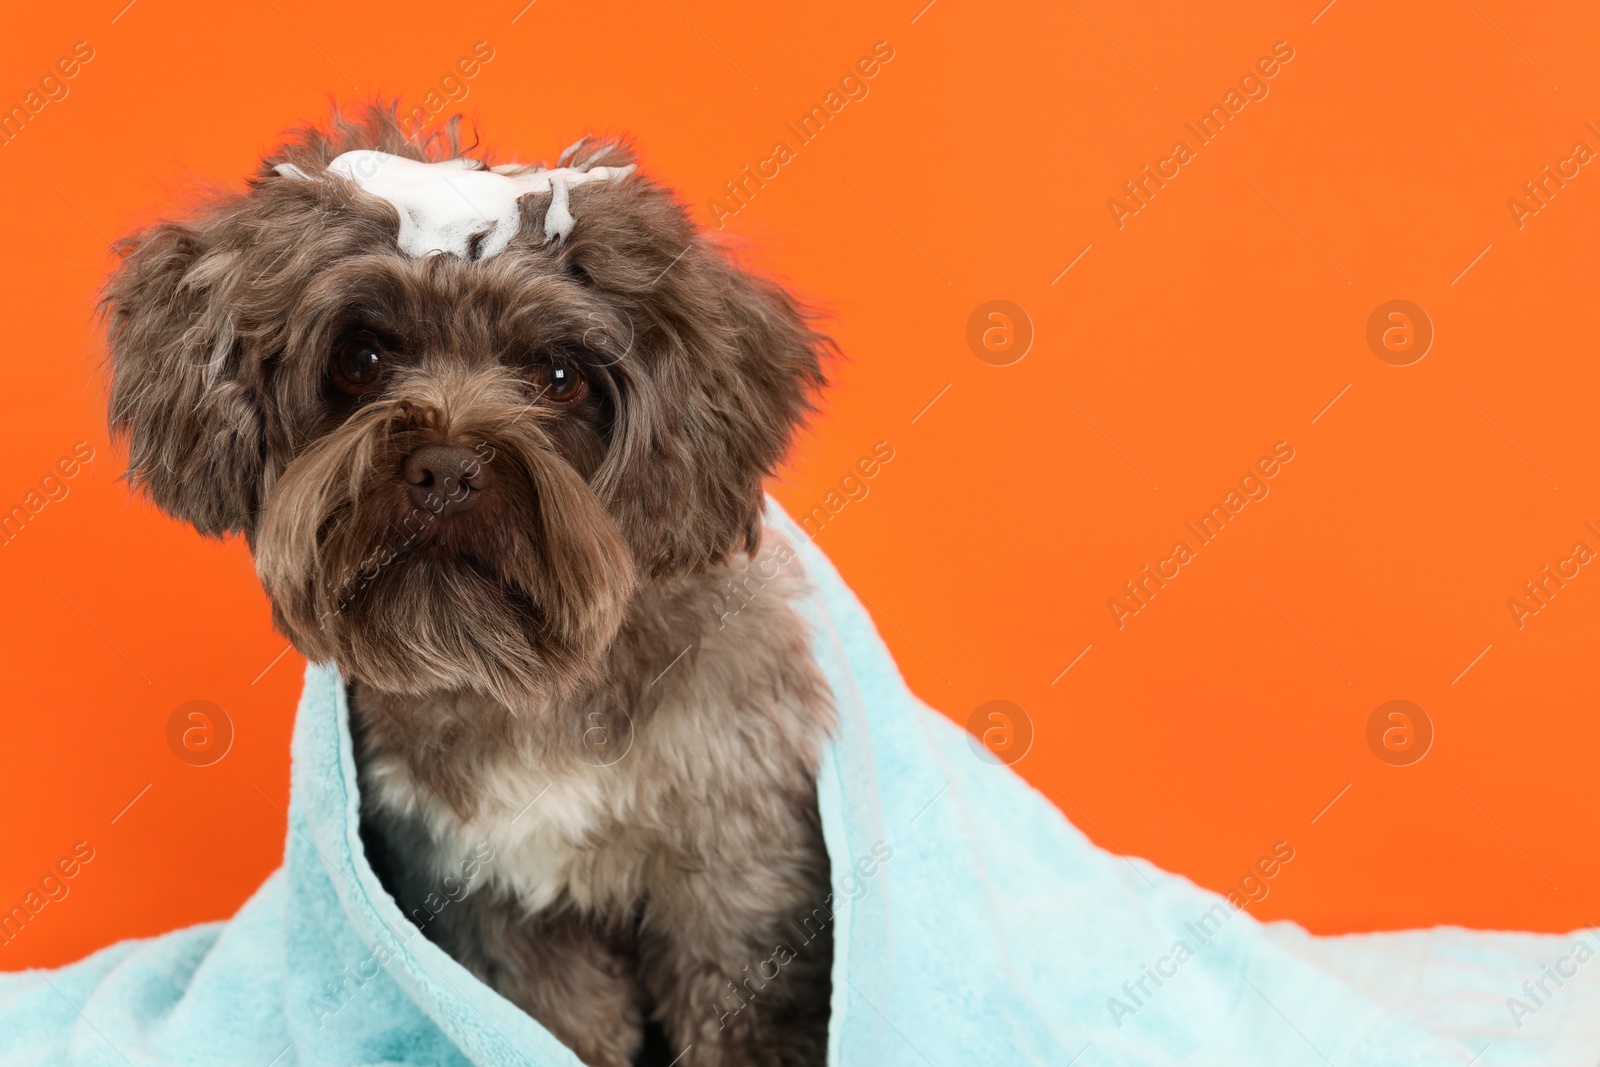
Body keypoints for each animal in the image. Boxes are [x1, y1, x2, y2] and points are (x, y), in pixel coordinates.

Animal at [103, 106, 838, 1067]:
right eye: (361, 357)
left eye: (559, 375)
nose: (447, 469)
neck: (531, 687)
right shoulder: (503, 916)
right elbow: (560, 1026)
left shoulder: (739, 885)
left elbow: (739, 1011)